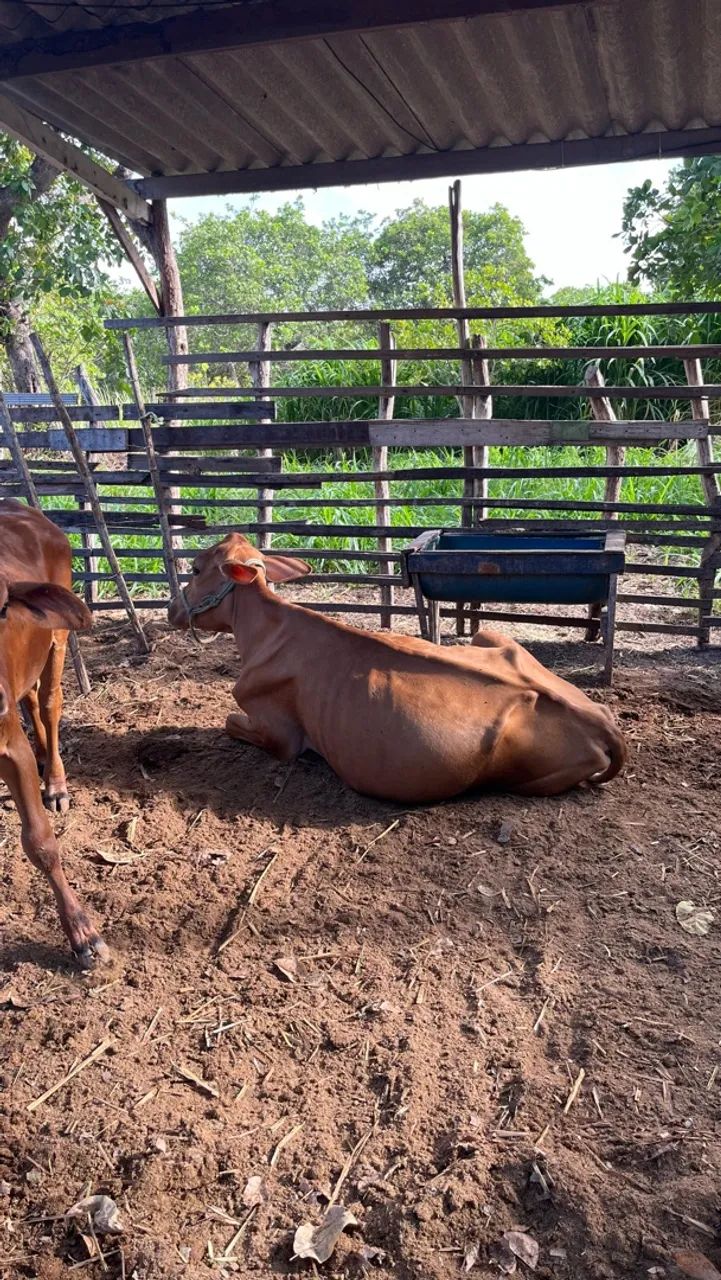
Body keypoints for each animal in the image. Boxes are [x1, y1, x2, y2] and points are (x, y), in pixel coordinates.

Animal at [168, 533, 626, 803]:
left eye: (195, 568)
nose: (172, 608)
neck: (265, 631)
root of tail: (600, 721)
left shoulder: (281, 737)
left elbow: (229, 721)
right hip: (493, 636)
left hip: (524, 779)